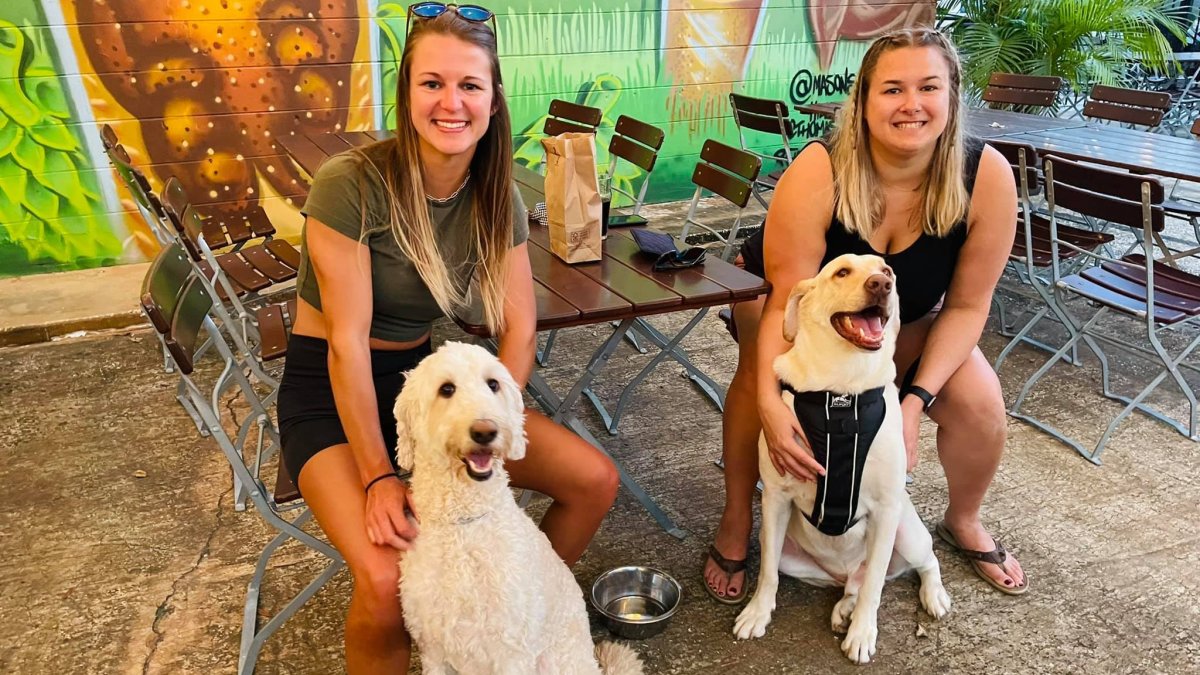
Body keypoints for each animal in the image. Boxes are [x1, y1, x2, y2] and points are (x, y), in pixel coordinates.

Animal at [393, 341, 643, 672]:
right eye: (446, 389)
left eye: (493, 384)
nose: (486, 430)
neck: (465, 524)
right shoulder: (433, 652)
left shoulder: (512, 653)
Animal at [724, 253, 950, 662]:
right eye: (842, 272)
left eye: (888, 272)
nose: (881, 285)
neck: (842, 391)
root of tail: (844, 570)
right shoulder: (775, 498)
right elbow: (767, 573)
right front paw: (757, 613)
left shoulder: (887, 509)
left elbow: (876, 586)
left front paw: (863, 634)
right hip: (788, 550)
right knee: (850, 585)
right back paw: (844, 607)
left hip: (906, 533)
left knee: (917, 565)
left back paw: (932, 596)